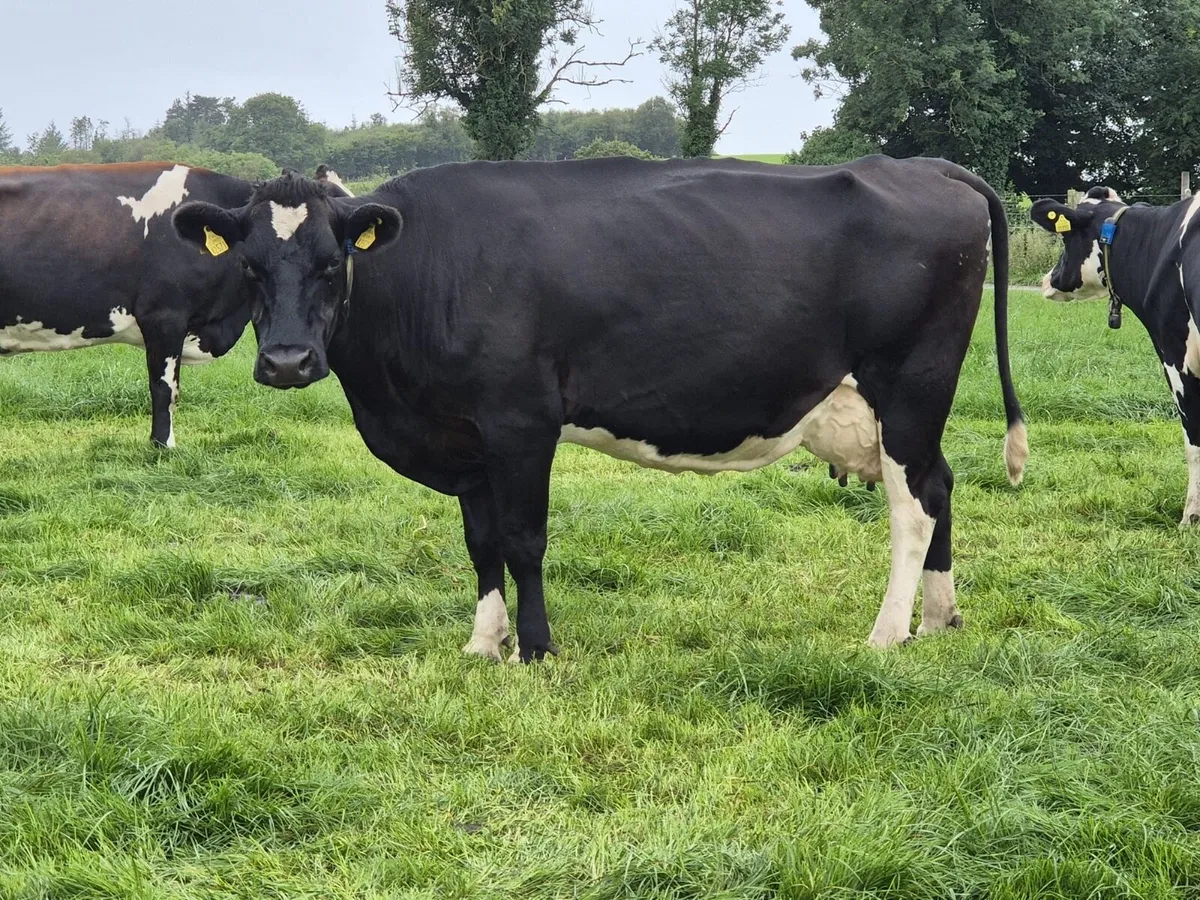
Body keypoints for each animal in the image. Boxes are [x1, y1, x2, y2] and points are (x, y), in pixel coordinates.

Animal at [172, 157, 1027, 661]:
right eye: (249, 267)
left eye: (331, 263)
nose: (287, 362)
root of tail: (919, 164)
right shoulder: (466, 437)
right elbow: (481, 543)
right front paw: (484, 643)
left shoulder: (521, 422)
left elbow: (523, 540)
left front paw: (537, 649)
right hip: (909, 410)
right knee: (941, 486)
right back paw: (940, 620)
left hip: (909, 386)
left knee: (912, 508)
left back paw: (886, 635)